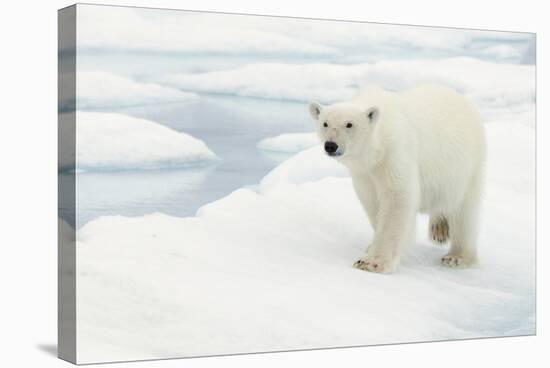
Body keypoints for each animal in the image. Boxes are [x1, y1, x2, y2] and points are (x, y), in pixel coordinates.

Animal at [310, 85, 488, 272]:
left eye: (349, 124)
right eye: (325, 123)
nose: (331, 145)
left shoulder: (395, 151)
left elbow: (398, 196)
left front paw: (372, 262)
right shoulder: (365, 173)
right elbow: (372, 201)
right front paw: (371, 246)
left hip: (466, 165)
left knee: (464, 210)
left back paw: (457, 257)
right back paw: (439, 228)